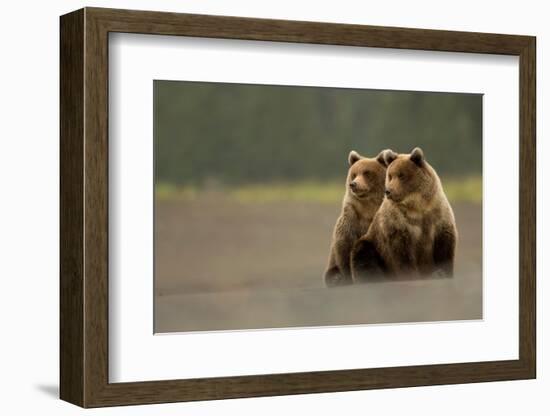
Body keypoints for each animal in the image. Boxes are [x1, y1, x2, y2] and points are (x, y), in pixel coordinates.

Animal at [326, 149, 390, 286]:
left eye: (367, 172)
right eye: (354, 174)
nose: (353, 184)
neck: (368, 208)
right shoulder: (351, 218)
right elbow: (345, 247)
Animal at [350, 148, 462, 282]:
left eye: (401, 175)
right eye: (390, 175)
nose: (388, 191)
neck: (417, 206)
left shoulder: (437, 213)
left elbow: (444, 245)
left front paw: (443, 272)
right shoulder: (398, 222)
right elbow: (401, 252)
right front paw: (410, 275)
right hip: (373, 246)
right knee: (362, 253)